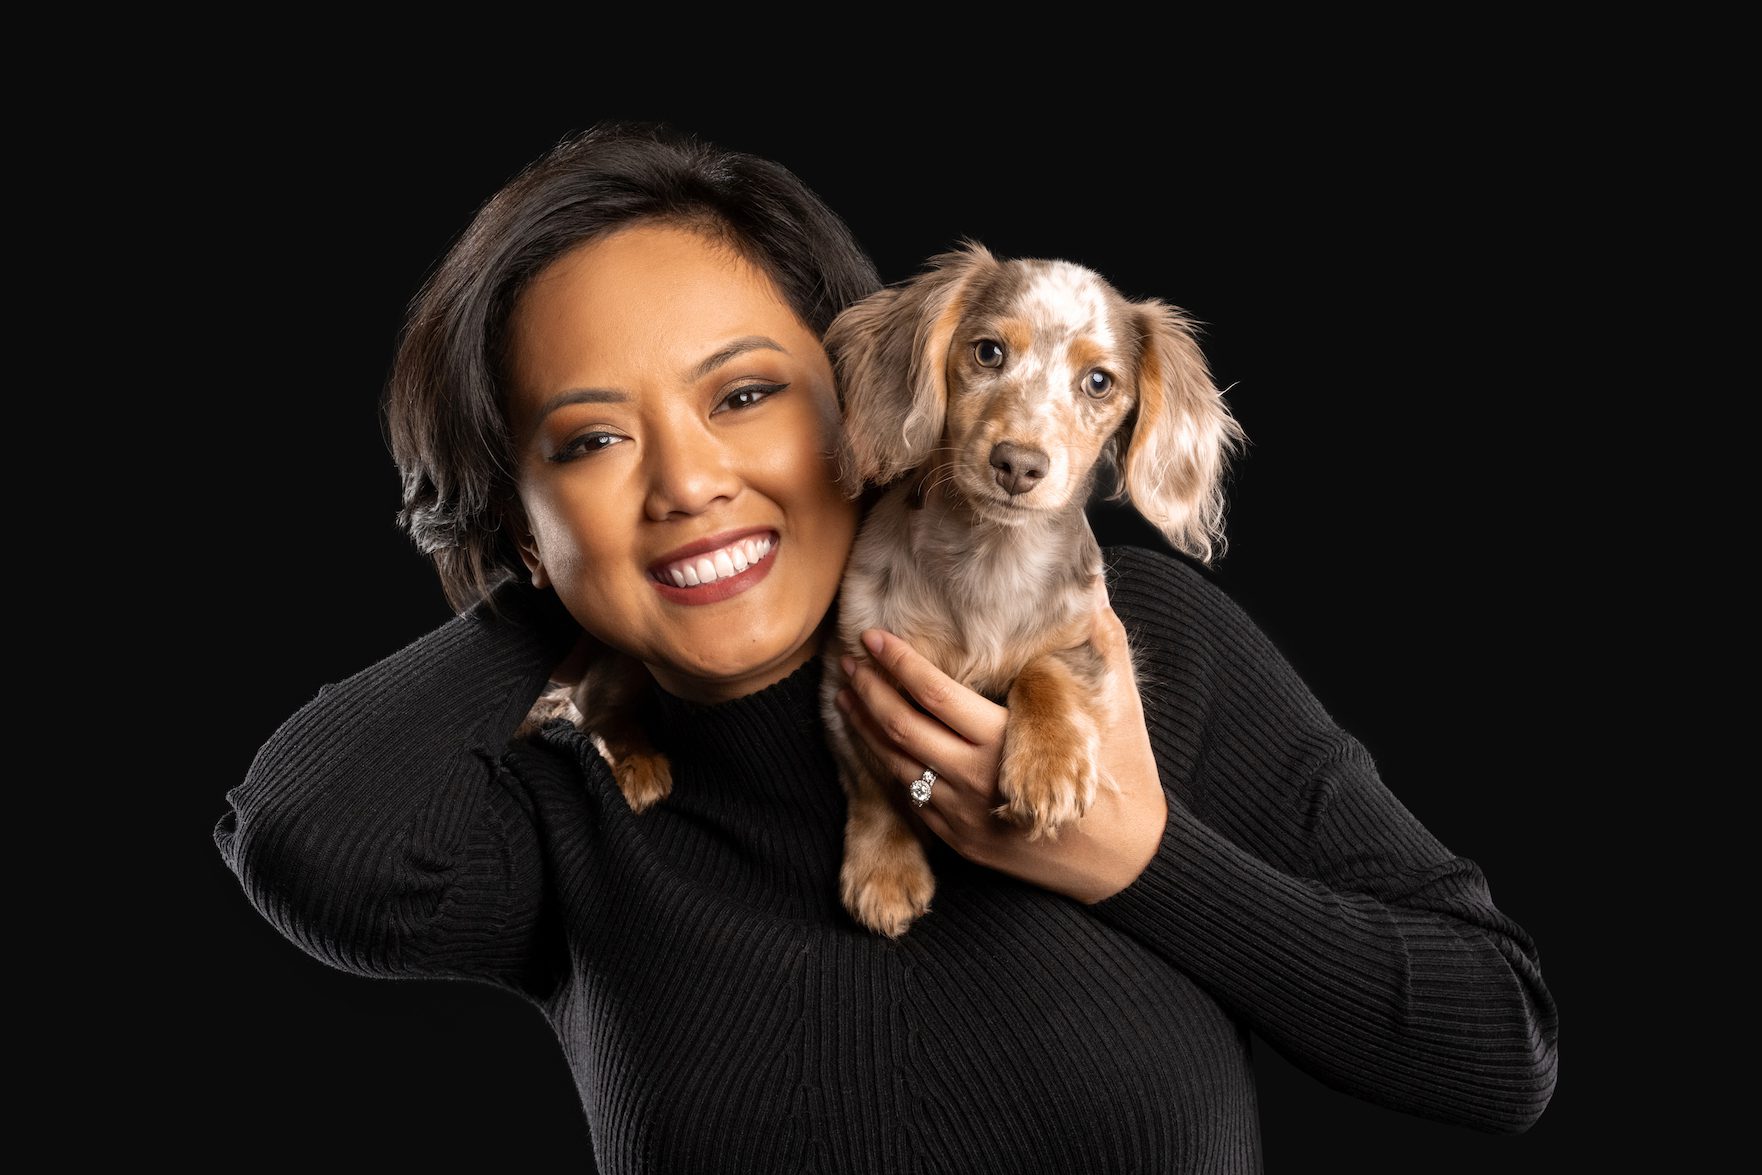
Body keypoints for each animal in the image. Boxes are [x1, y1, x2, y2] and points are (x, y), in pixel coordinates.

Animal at [821, 241, 1247, 937]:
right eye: (988, 352)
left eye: (1099, 382)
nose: (1018, 465)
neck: (992, 557)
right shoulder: (850, 667)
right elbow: (873, 779)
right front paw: (885, 869)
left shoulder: (1090, 639)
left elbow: (1046, 668)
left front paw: (1047, 764)